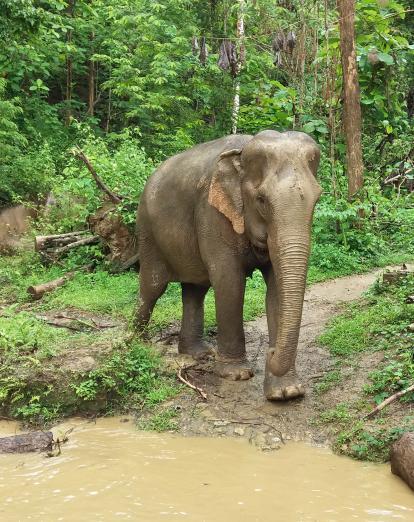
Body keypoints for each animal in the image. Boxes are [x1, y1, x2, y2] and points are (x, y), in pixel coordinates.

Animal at [134, 130, 322, 398]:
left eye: (317, 199)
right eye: (262, 200)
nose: (271, 352)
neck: (242, 152)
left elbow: (277, 290)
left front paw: (286, 391)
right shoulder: (212, 214)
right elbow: (229, 282)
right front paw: (237, 374)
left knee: (195, 289)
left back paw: (198, 354)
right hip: (147, 231)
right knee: (152, 286)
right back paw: (135, 343)